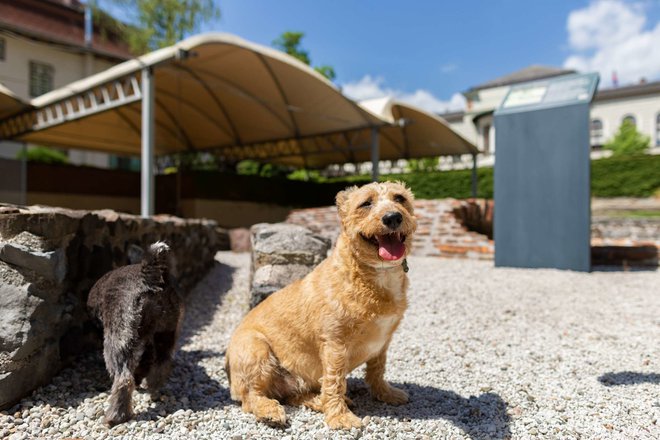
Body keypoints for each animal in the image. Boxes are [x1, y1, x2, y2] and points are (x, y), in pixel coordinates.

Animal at [87, 242, 184, 424]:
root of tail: (150, 278)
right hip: (165, 332)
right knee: (162, 363)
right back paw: (153, 388)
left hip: (117, 340)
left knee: (124, 379)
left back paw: (115, 416)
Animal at [224, 180, 416, 428]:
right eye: (366, 203)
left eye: (400, 198)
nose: (393, 217)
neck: (374, 275)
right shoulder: (334, 344)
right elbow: (335, 380)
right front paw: (340, 417)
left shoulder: (382, 343)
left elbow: (377, 370)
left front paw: (385, 393)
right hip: (256, 349)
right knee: (251, 397)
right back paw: (270, 410)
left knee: (294, 395)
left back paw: (317, 401)